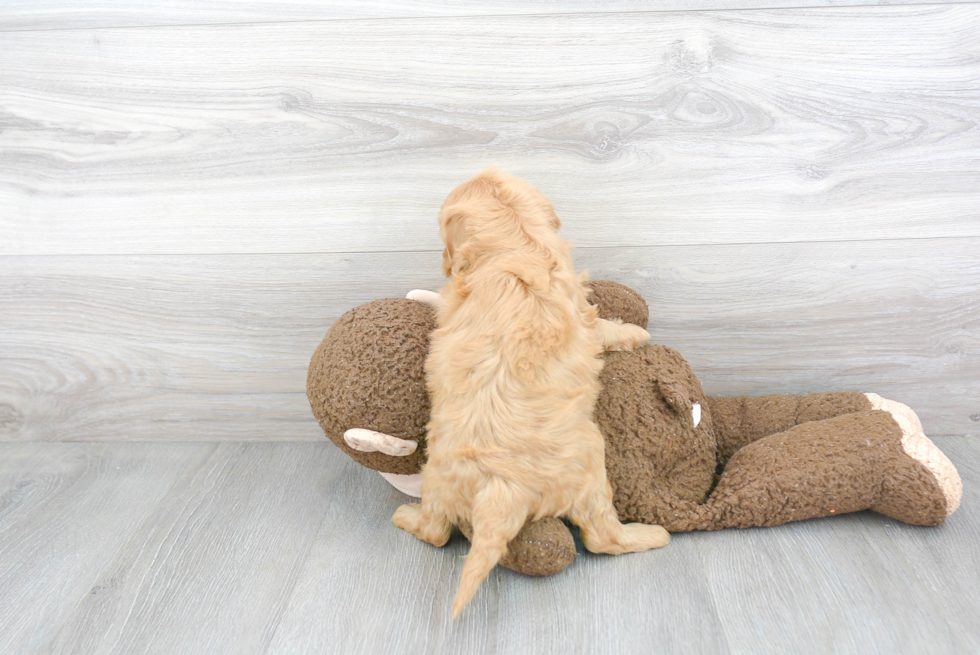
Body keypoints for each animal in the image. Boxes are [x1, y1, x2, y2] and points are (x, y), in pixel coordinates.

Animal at [394, 168, 668, 616]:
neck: (515, 241)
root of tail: (500, 488)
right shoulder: (581, 311)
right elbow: (602, 327)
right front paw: (632, 332)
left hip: (436, 474)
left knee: (435, 530)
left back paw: (406, 517)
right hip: (591, 463)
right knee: (601, 538)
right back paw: (649, 535)